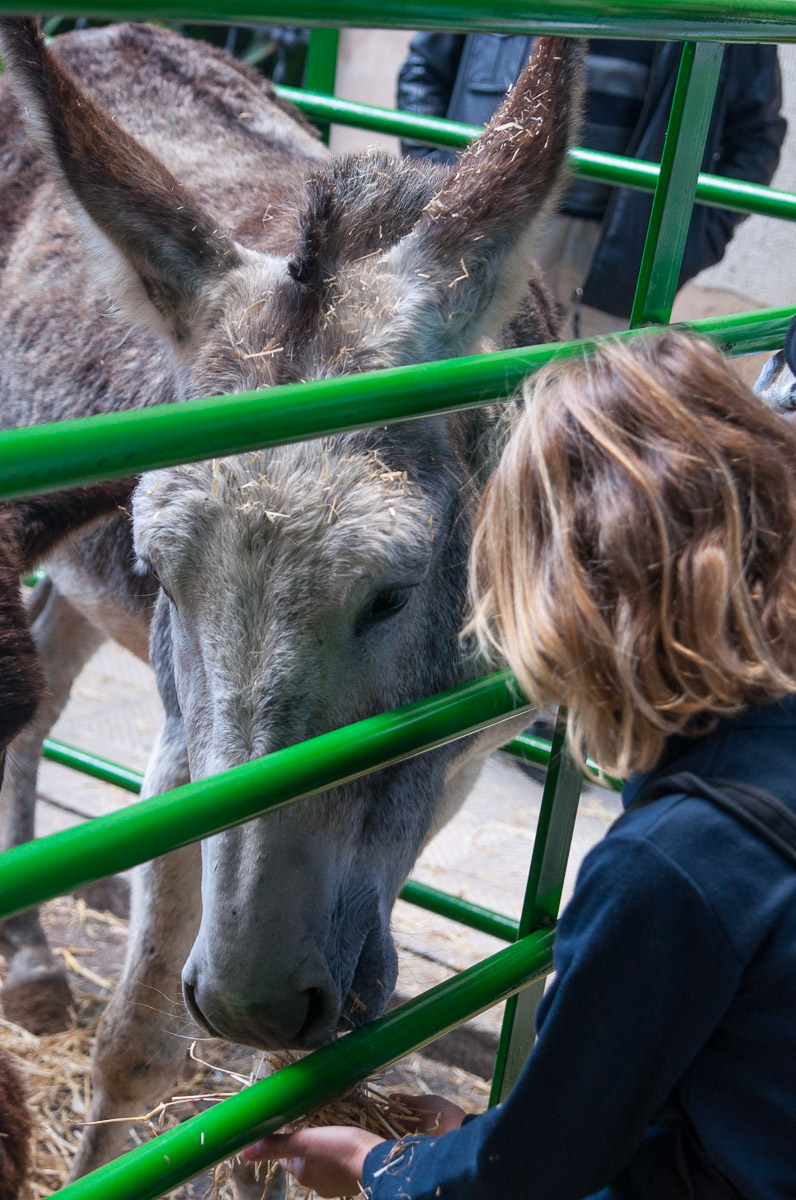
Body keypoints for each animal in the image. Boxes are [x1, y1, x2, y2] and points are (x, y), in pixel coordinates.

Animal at [0, 18, 582, 1188]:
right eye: (167, 572)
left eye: (393, 594)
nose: (252, 1001)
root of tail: (112, 31)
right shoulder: (183, 749)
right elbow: (138, 1041)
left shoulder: (455, 755)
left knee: (38, 695)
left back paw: (33, 958)